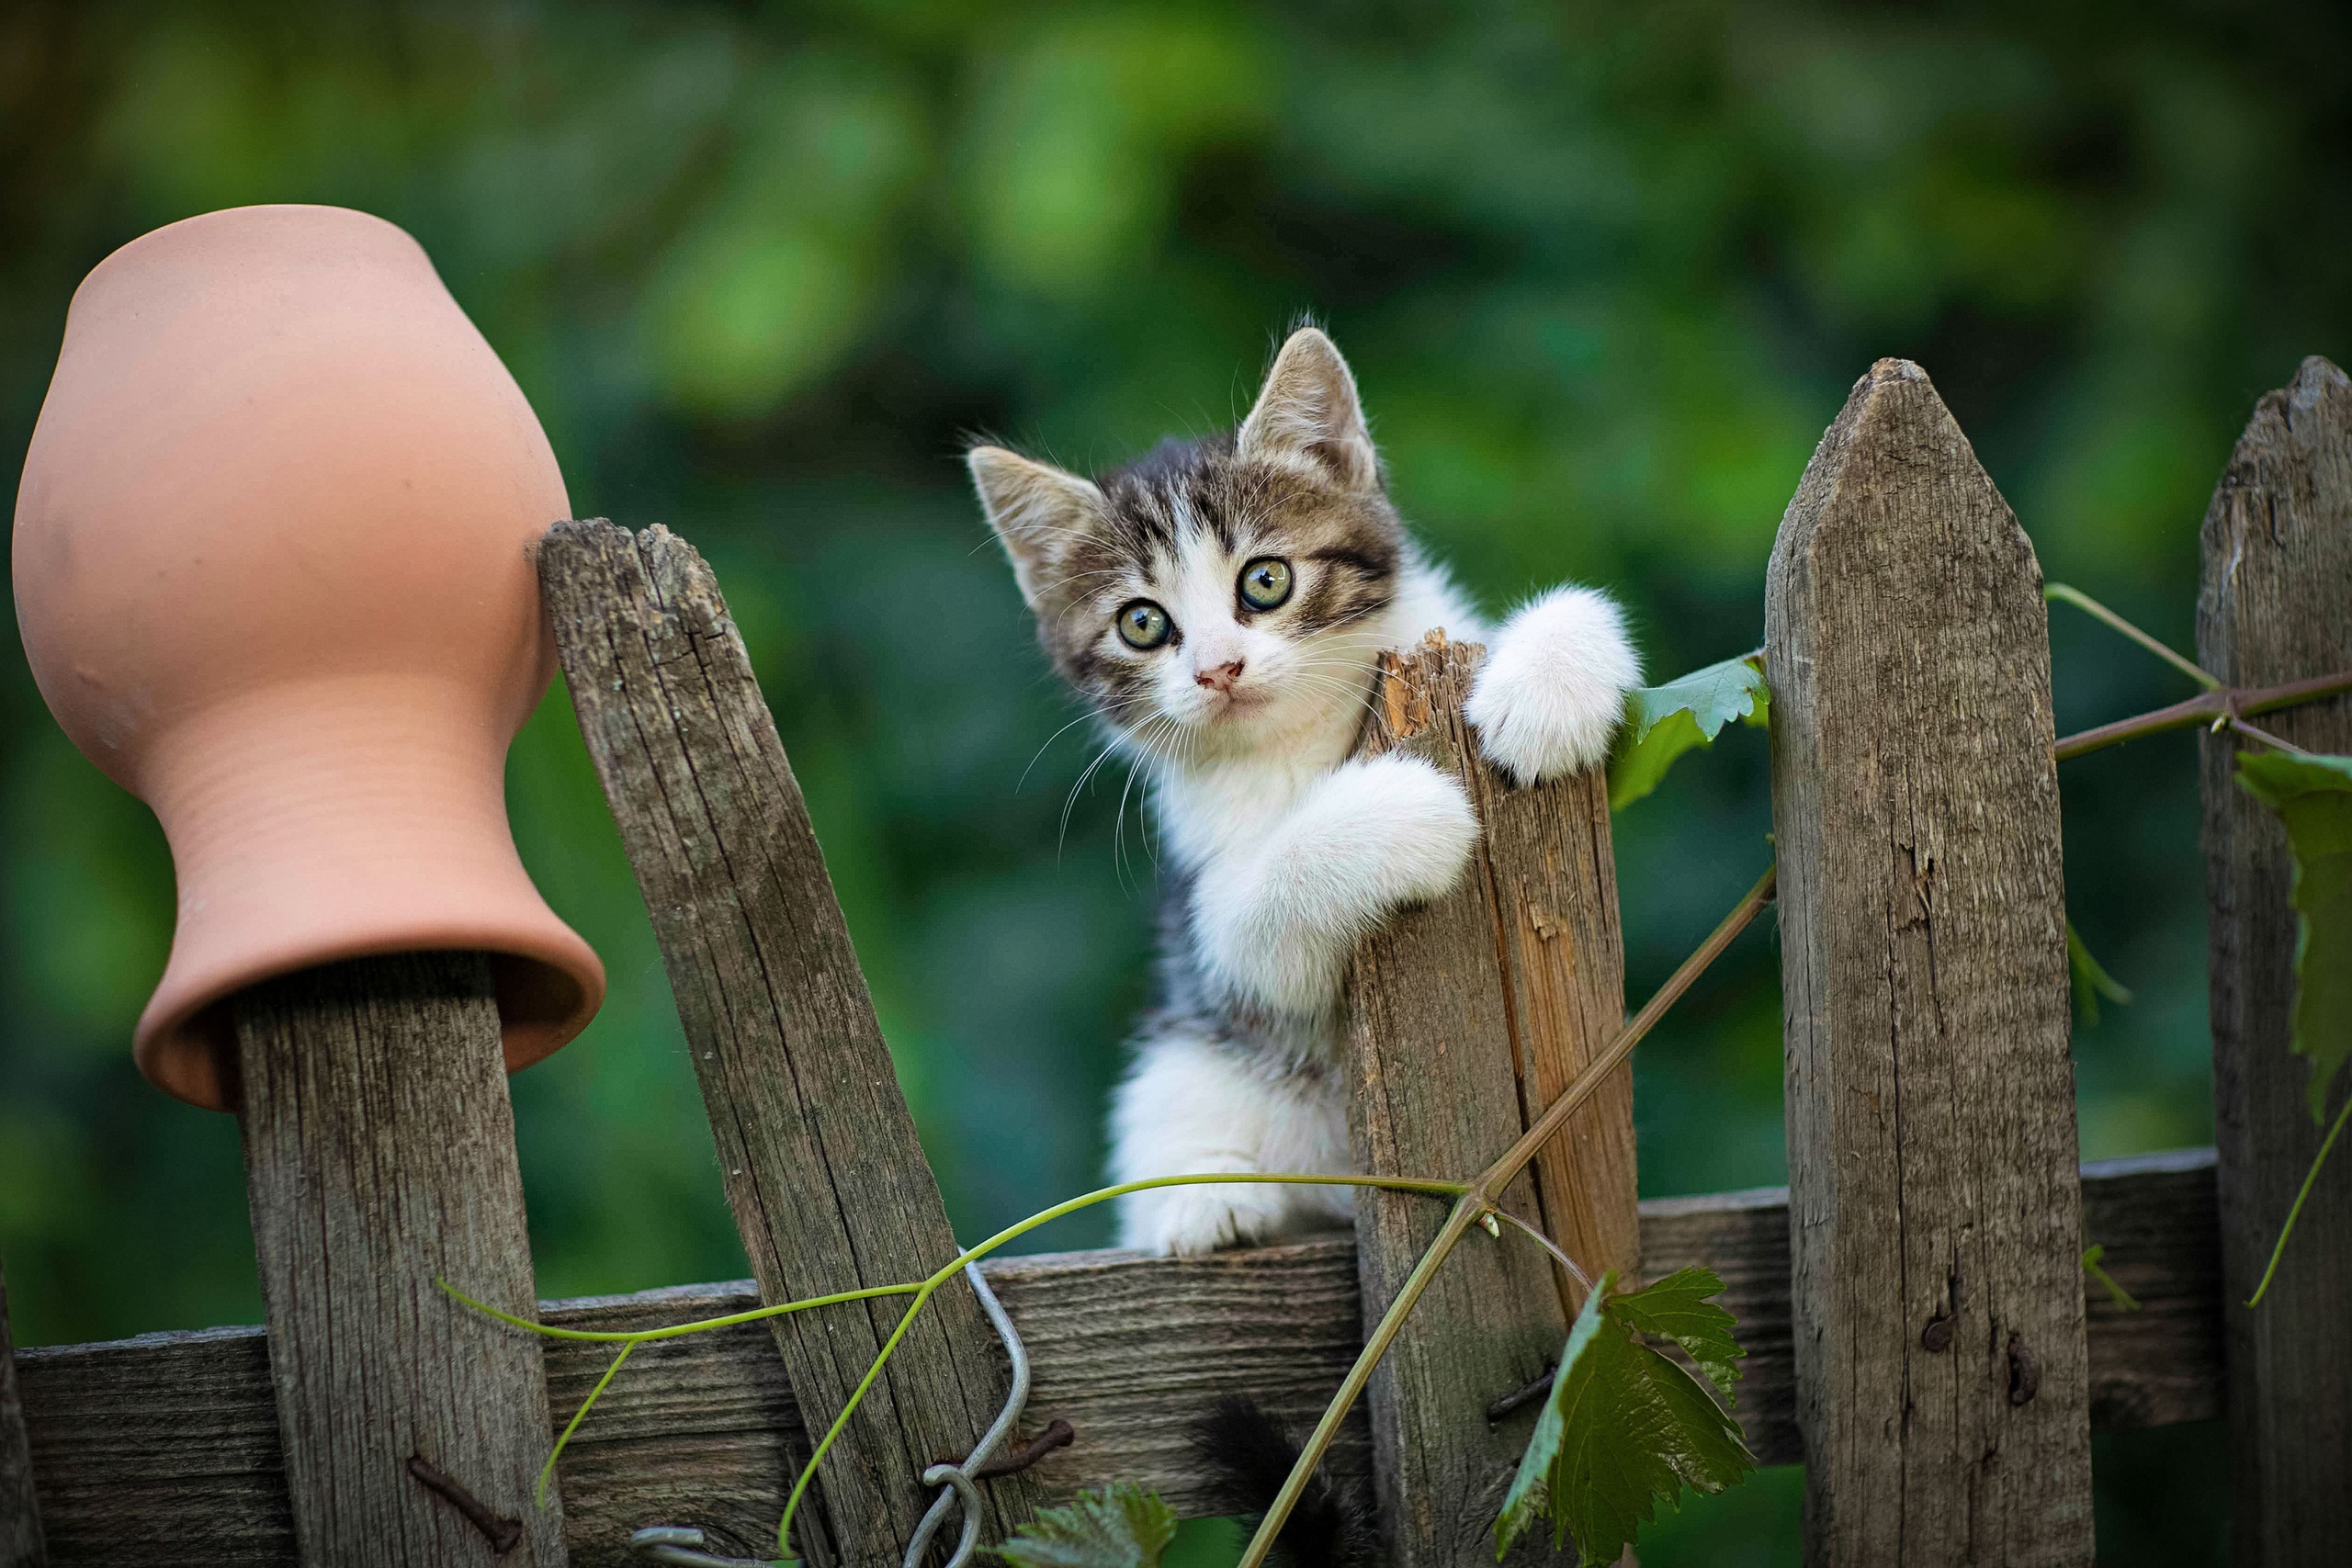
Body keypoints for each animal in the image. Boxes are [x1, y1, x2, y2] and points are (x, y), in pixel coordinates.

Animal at [968, 324, 1636, 1259]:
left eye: (1265, 579)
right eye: (1143, 623)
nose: (1218, 668)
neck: (1312, 725)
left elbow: (1579, 618)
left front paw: (1545, 692)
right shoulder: (1218, 942)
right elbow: (1262, 913)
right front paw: (1412, 811)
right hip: (1187, 1056)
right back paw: (1204, 1204)